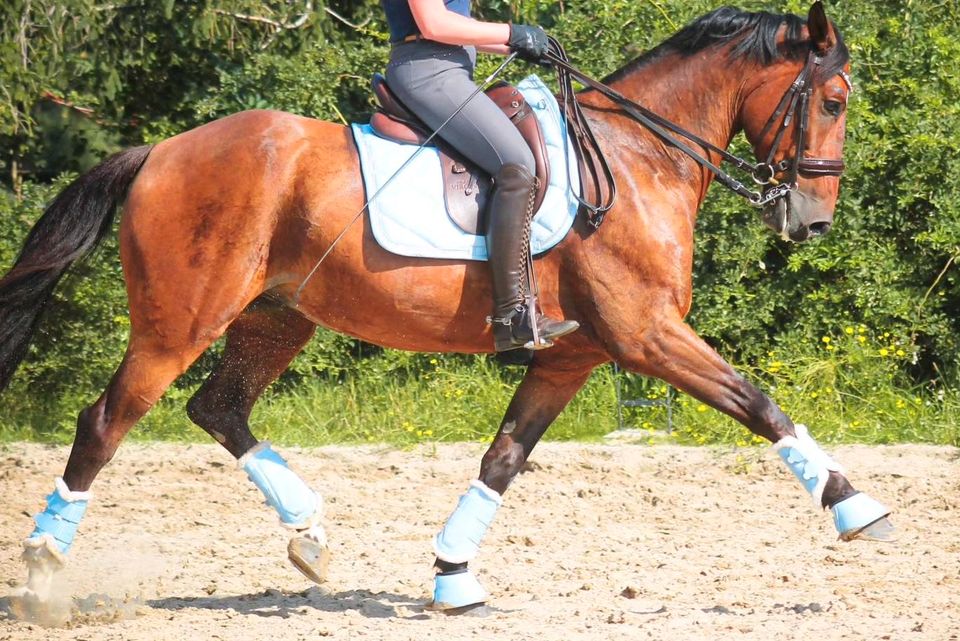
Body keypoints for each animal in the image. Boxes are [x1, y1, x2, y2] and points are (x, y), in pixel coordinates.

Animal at [0, 2, 892, 612]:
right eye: (835, 101)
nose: (812, 221)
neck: (640, 153)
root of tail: (161, 151)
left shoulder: (574, 355)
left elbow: (503, 456)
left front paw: (453, 574)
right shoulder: (647, 336)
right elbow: (759, 403)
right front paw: (858, 509)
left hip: (277, 317)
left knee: (217, 408)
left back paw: (311, 535)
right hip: (178, 323)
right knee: (105, 422)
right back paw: (44, 569)